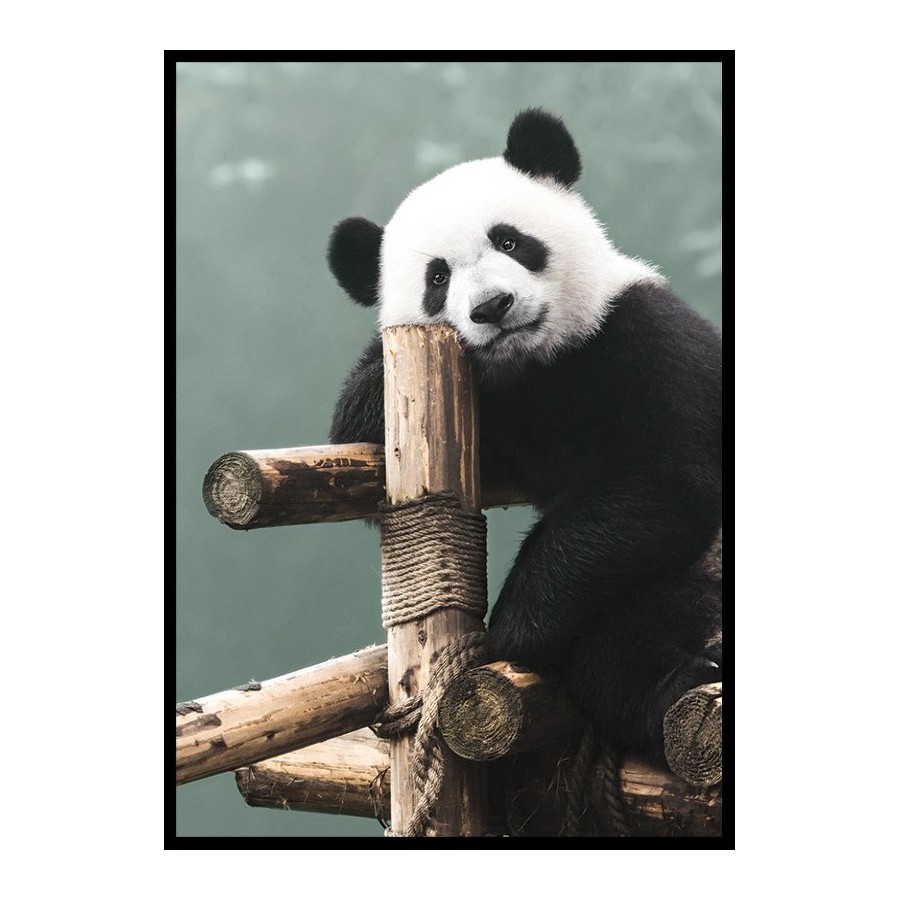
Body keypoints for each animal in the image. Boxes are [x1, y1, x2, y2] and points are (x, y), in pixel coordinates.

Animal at [326, 109, 722, 762]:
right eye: (438, 277)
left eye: (509, 241)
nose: (492, 305)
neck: (539, 363)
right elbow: (351, 426)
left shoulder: (648, 337)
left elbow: (666, 482)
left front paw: (509, 630)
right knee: (620, 648)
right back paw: (677, 682)